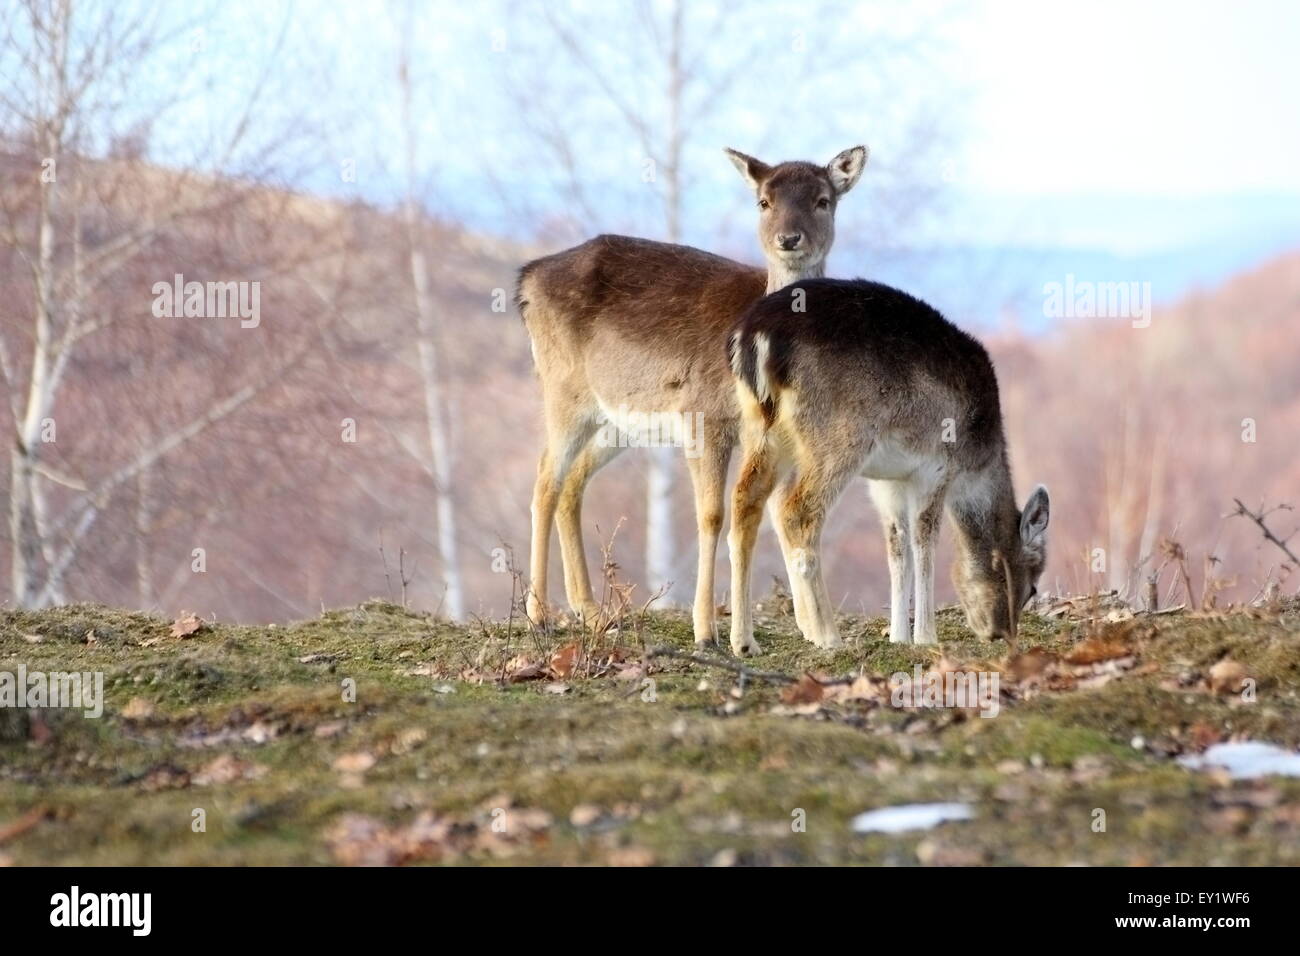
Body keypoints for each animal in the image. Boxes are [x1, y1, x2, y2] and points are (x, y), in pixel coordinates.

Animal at [514, 145, 863, 647]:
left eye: (823, 200)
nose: (789, 239)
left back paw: (593, 613)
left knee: (573, 483)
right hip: (563, 389)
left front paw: (808, 629)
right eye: (763, 201)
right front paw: (707, 630)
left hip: (619, 420)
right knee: (546, 478)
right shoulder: (704, 414)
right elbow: (712, 514)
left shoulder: (776, 434)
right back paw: (539, 614)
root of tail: (526, 279)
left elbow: (770, 509)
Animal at [728, 273, 1050, 655]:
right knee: (797, 510)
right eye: (1032, 586)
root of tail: (754, 335)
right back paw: (828, 636)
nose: (1002, 632)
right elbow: (924, 541)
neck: (976, 465)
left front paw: (899, 635)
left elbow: (897, 545)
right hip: (839, 437)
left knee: (745, 501)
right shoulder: (936, 468)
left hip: (760, 429)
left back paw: (744, 641)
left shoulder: (887, 481)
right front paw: (925, 636)